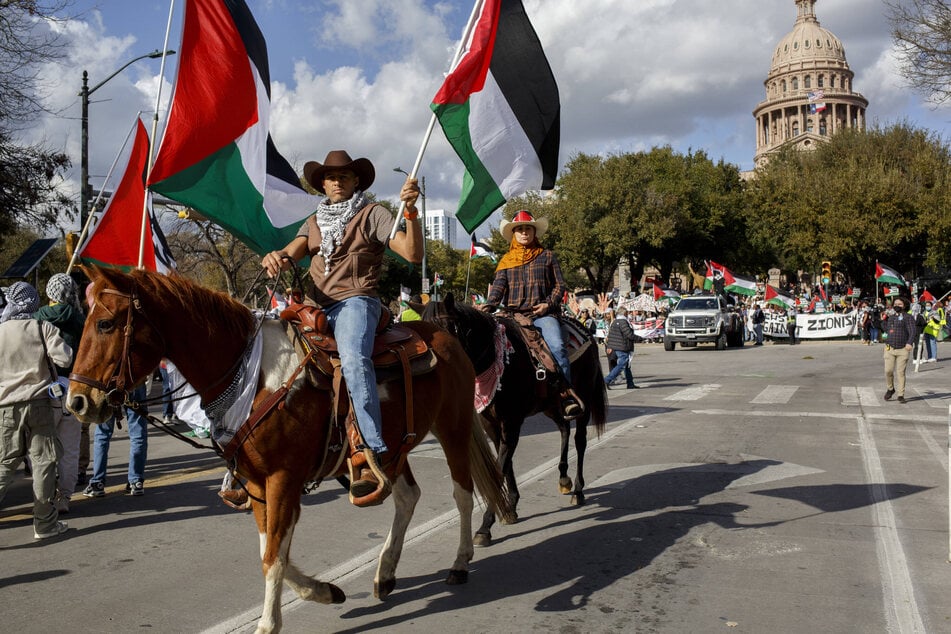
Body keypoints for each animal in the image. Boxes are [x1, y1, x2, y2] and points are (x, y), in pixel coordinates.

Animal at [67, 266, 512, 632]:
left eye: (105, 323)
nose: (77, 402)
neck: (252, 378)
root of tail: (442, 333)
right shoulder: (258, 483)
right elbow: (270, 547)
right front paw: (325, 591)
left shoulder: (283, 479)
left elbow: (272, 555)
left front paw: (268, 624)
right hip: (389, 448)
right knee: (407, 496)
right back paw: (385, 573)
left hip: (453, 427)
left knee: (462, 493)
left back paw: (460, 561)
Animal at [424, 294, 608, 544]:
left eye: (446, 332)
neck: (497, 358)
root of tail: (587, 333)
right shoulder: (491, 425)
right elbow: (505, 463)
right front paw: (510, 507)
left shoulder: (512, 423)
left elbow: (500, 468)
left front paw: (485, 526)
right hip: (551, 405)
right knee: (564, 429)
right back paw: (564, 478)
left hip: (585, 398)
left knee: (580, 441)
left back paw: (578, 490)